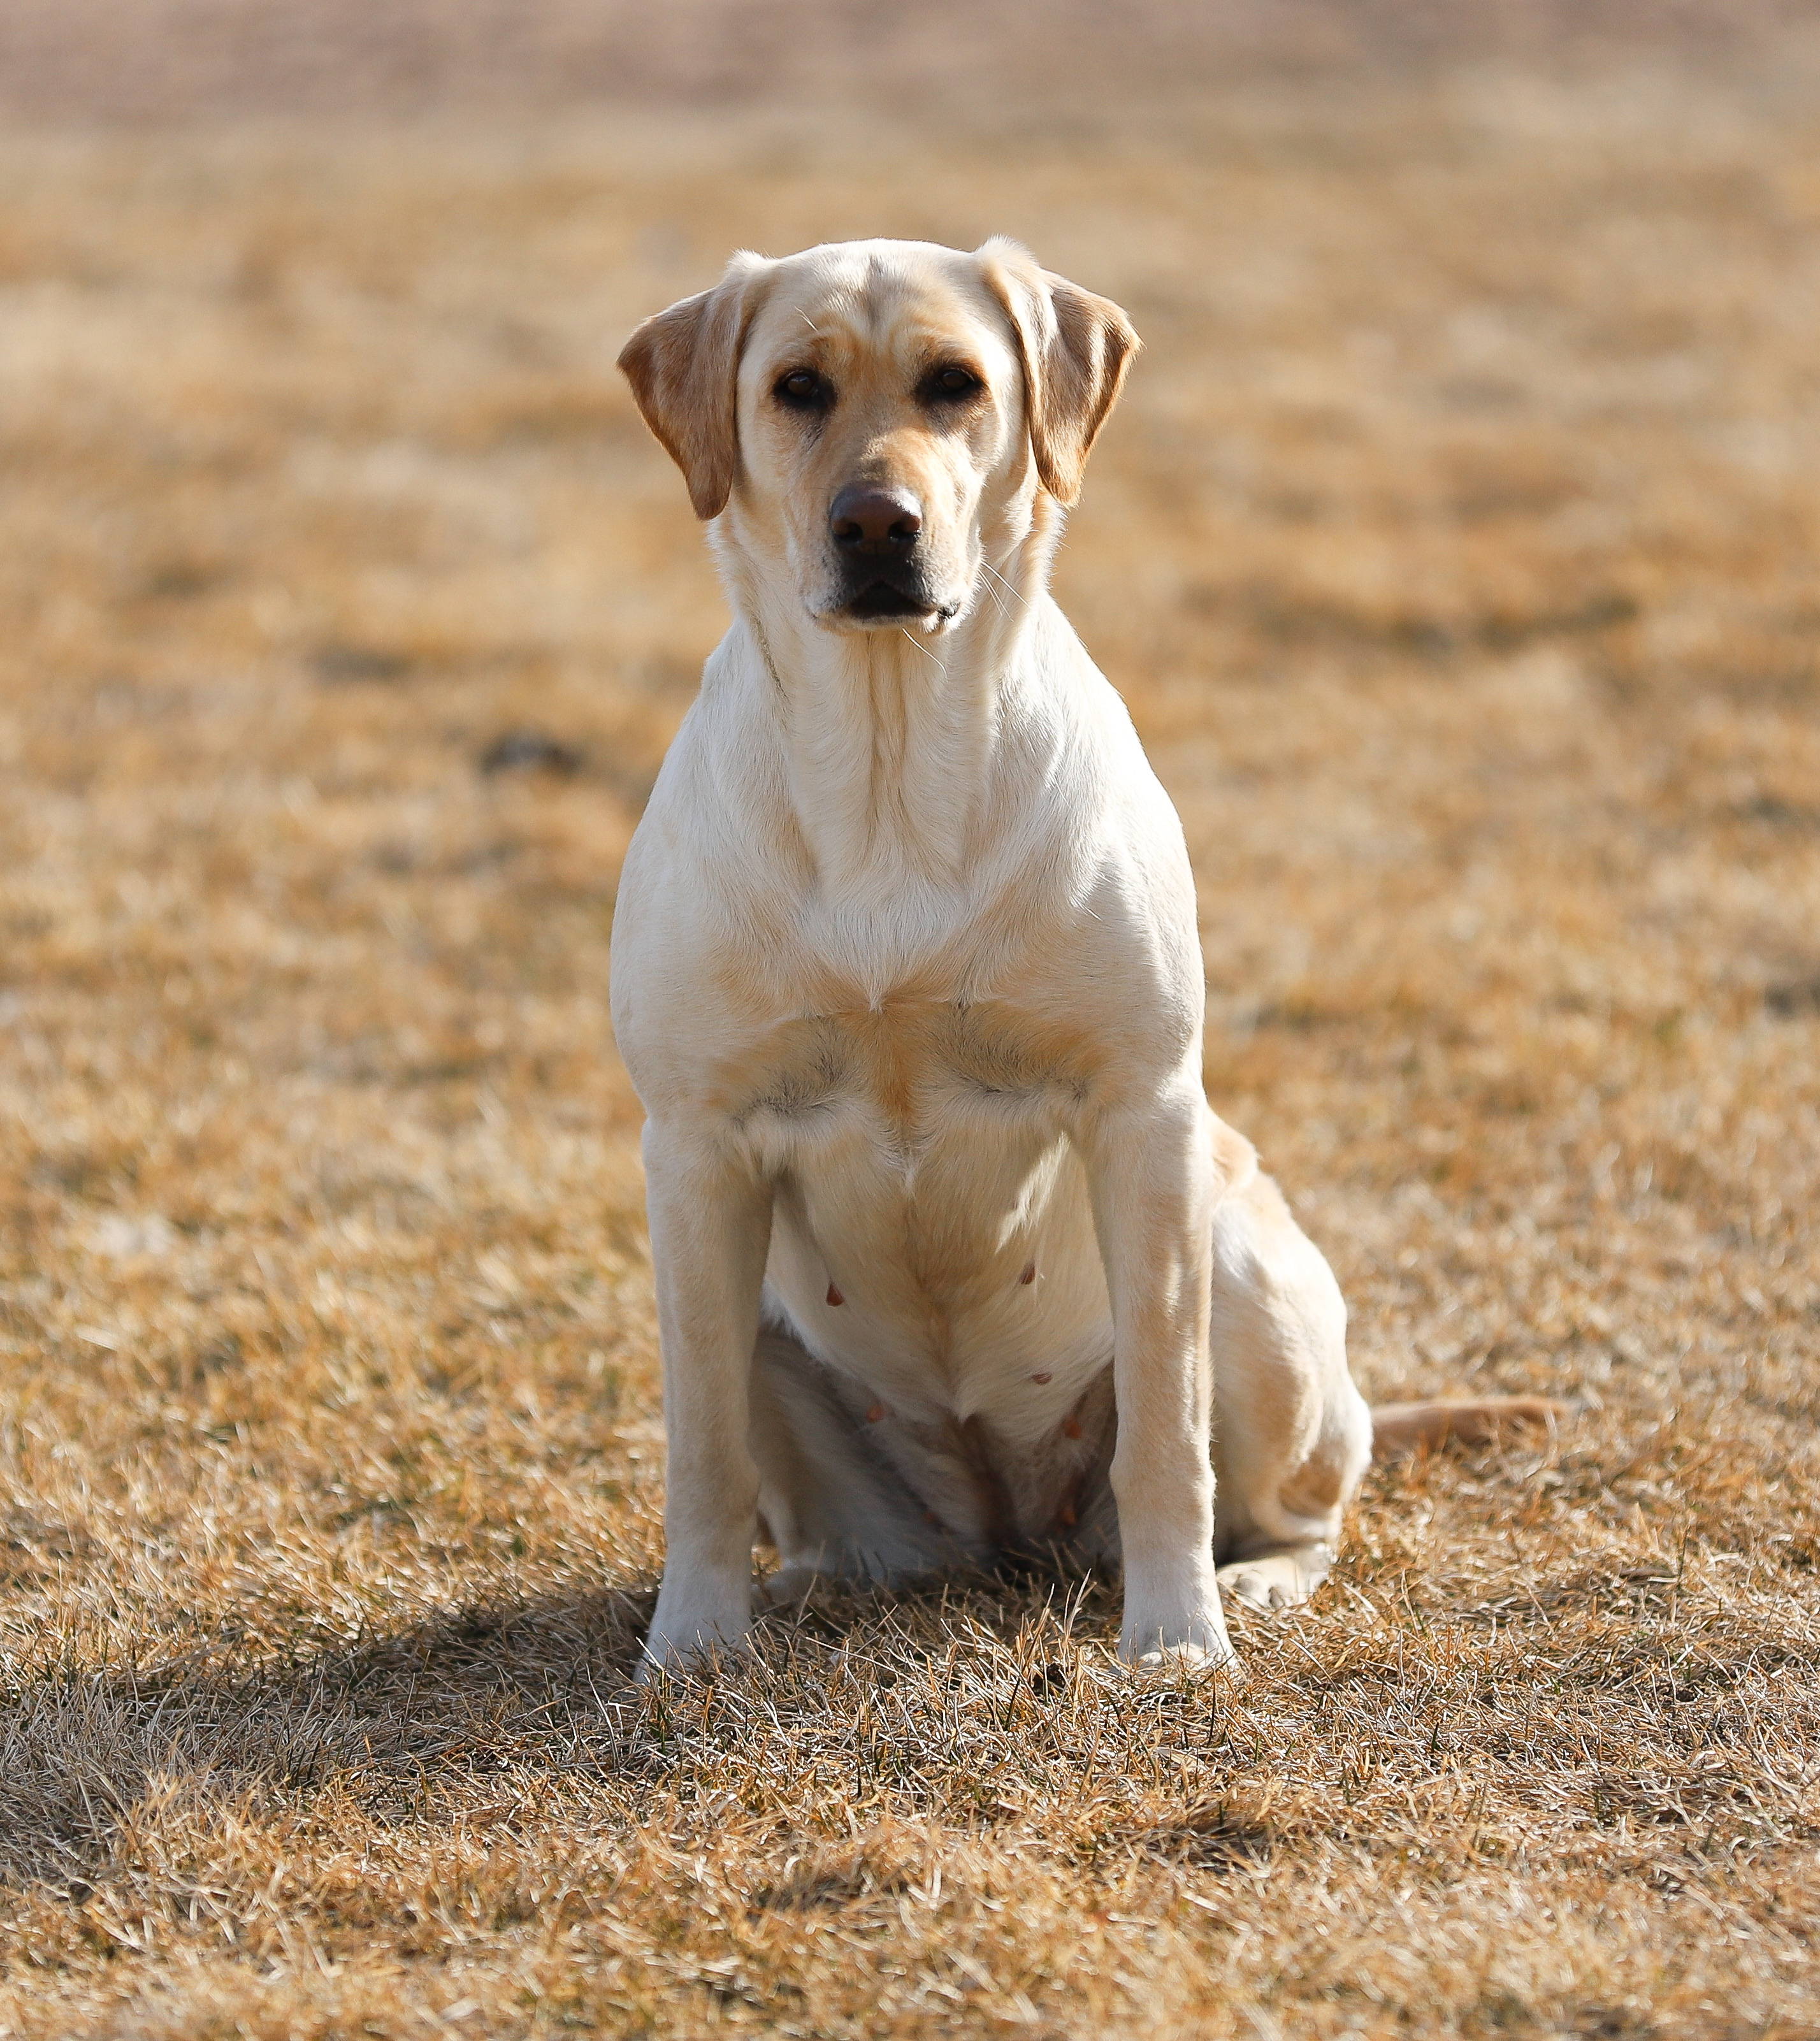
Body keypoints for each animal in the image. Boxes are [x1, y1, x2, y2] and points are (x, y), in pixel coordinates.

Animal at [616, 238, 1550, 1673]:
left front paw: (1175, 1637)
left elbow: (1166, 1432)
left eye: (956, 384)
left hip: (1245, 1267)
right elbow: (700, 1447)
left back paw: (1255, 1582)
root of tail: (1006, 1522)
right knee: (829, 1518)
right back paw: (806, 1589)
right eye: (795, 387)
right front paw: (693, 1643)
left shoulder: (1141, 1113)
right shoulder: (696, 1148)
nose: (876, 525)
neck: (889, 769)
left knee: (1301, 1498)